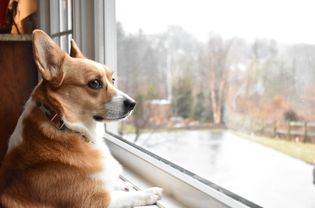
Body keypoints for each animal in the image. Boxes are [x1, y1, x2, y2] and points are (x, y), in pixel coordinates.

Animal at [0, 30, 163, 207]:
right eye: (95, 83)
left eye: (112, 80)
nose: (133, 104)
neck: (65, 125)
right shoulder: (95, 201)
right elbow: (127, 197)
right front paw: (149, 193)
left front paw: (121, 184)